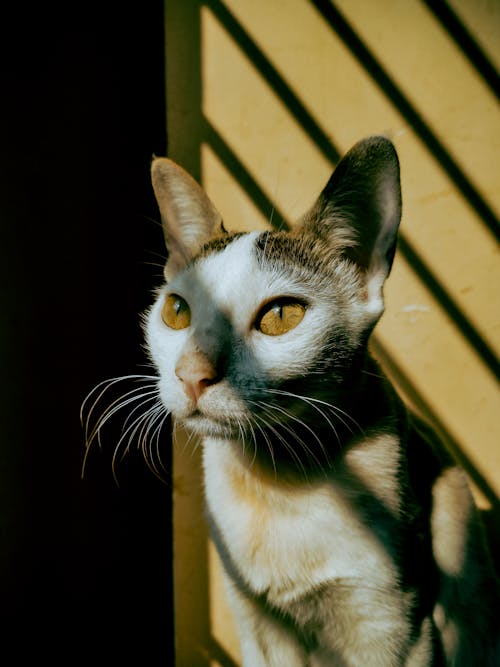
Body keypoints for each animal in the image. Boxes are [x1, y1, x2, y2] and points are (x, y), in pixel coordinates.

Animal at [90, 137, 500, 667]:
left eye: (282, 316)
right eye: (177, 311)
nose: (192, 375)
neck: (278, 482)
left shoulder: (395, 626)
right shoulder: (256, 626)